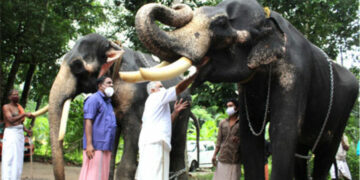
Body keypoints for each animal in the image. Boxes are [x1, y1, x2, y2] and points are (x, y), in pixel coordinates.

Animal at [130, 0, 360, 179]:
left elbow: (282, 132)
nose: (177, 5)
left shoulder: (296, 74)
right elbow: (250, 135)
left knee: (325, 153)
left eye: (221, 23)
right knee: (301, 154)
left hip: (343, 112)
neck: (268, 19)